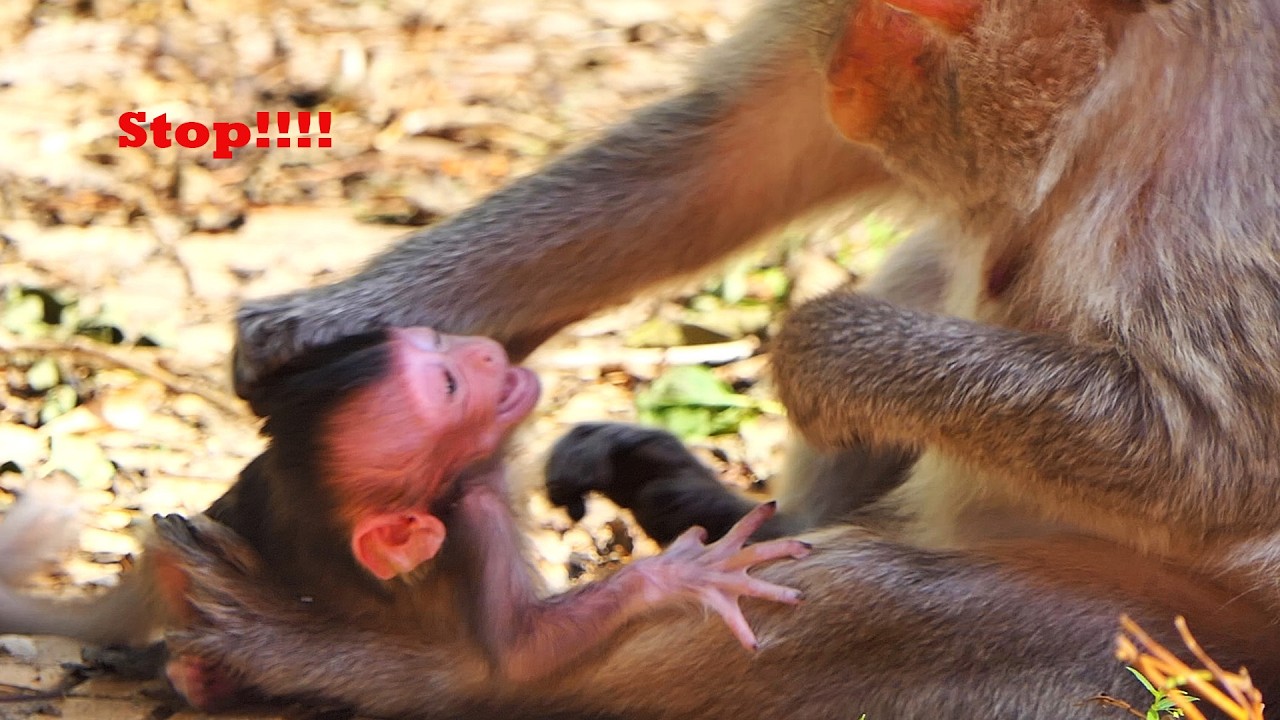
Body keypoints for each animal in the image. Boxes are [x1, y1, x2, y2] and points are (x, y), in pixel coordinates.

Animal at [0, 328, 809, 711]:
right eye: (448, 385)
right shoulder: (475, 515)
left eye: (436, 342)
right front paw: (682, 576)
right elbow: (519, 655)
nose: (485, 351)